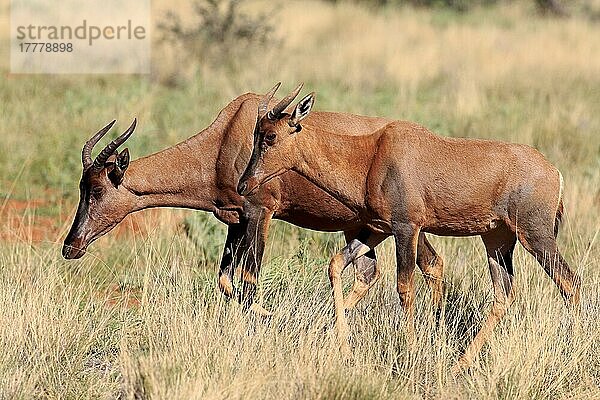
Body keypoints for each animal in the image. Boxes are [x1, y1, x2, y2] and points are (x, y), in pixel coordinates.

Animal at [61, 86, 446, 316]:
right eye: (81, 187)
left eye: (97, 190)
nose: (70, 247)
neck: (227, 136)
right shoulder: (235, 219)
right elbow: (226, 281)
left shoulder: (261, 212)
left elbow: (249, 282)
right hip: (370, 228)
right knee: (382, 271)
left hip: (400, 225)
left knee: (425, 265)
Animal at [238, 83, 580, 372]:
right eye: (255, 134)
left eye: (270, 136)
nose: (244, 185)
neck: (373, 153)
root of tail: (554, 172)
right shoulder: (378, 229)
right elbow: (335, 264)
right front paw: (343, 347)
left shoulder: (406, 228)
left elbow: (404, 287)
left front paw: (411, 351)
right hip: (497, 239)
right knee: (504, 295)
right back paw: (460, 364)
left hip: (535, 236)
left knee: (570, 283)